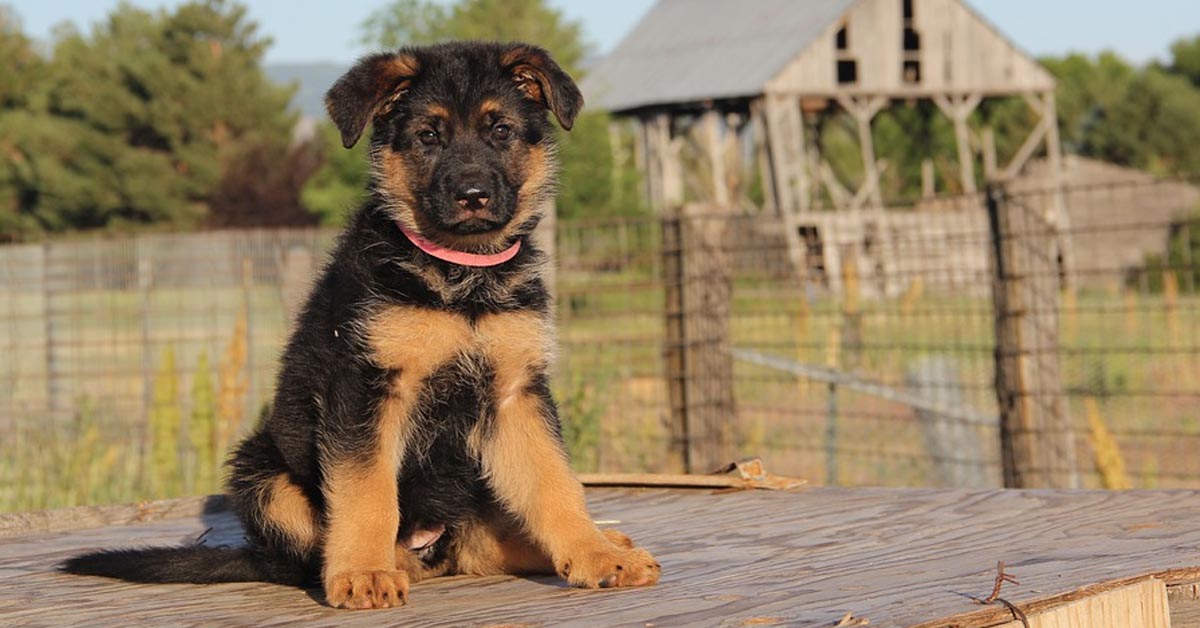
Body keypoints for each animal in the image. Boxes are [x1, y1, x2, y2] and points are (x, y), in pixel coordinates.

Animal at [60, 41, 662, 612]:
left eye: (501, 131)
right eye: (428, 136)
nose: (472, 196)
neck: (460, 275)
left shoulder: (516, 394)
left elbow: (557, 484)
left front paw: (594, 553)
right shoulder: (365, 388)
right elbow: (367, 492)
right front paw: (364, 573)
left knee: (483, 544)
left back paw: (598, 544)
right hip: (263, 471)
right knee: (317, 552)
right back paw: (370, 564)